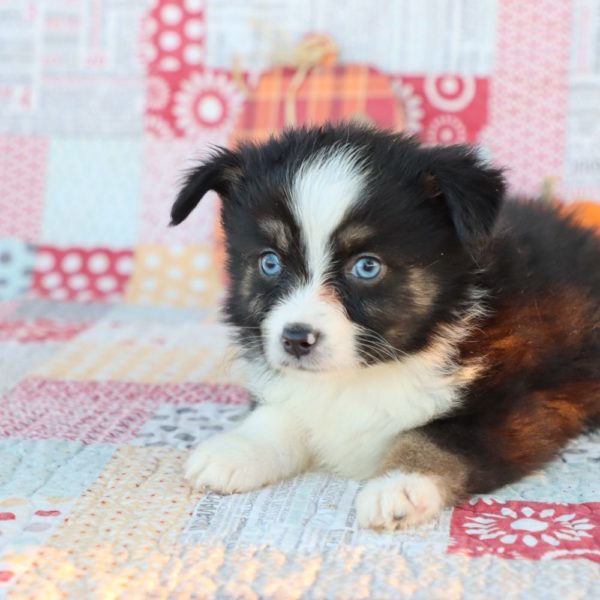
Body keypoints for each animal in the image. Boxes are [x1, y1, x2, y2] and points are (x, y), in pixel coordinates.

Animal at [170, 122, 600, 528]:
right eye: (270, 262)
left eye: (367, 266)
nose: (295, 339)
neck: (367, 370)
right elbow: (285, 410)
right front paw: (237, 449)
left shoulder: (520, 408)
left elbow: (438, 436)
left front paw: (400, 485)